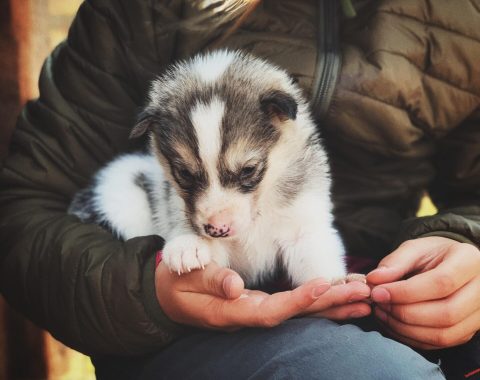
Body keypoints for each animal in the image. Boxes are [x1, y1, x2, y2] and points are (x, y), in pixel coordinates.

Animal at [69, 50, 358, 288]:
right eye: (184, 174)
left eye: (248, 170)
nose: (216, 230)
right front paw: (190, 244)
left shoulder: (302, 221)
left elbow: (315, 259)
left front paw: (335, 283)